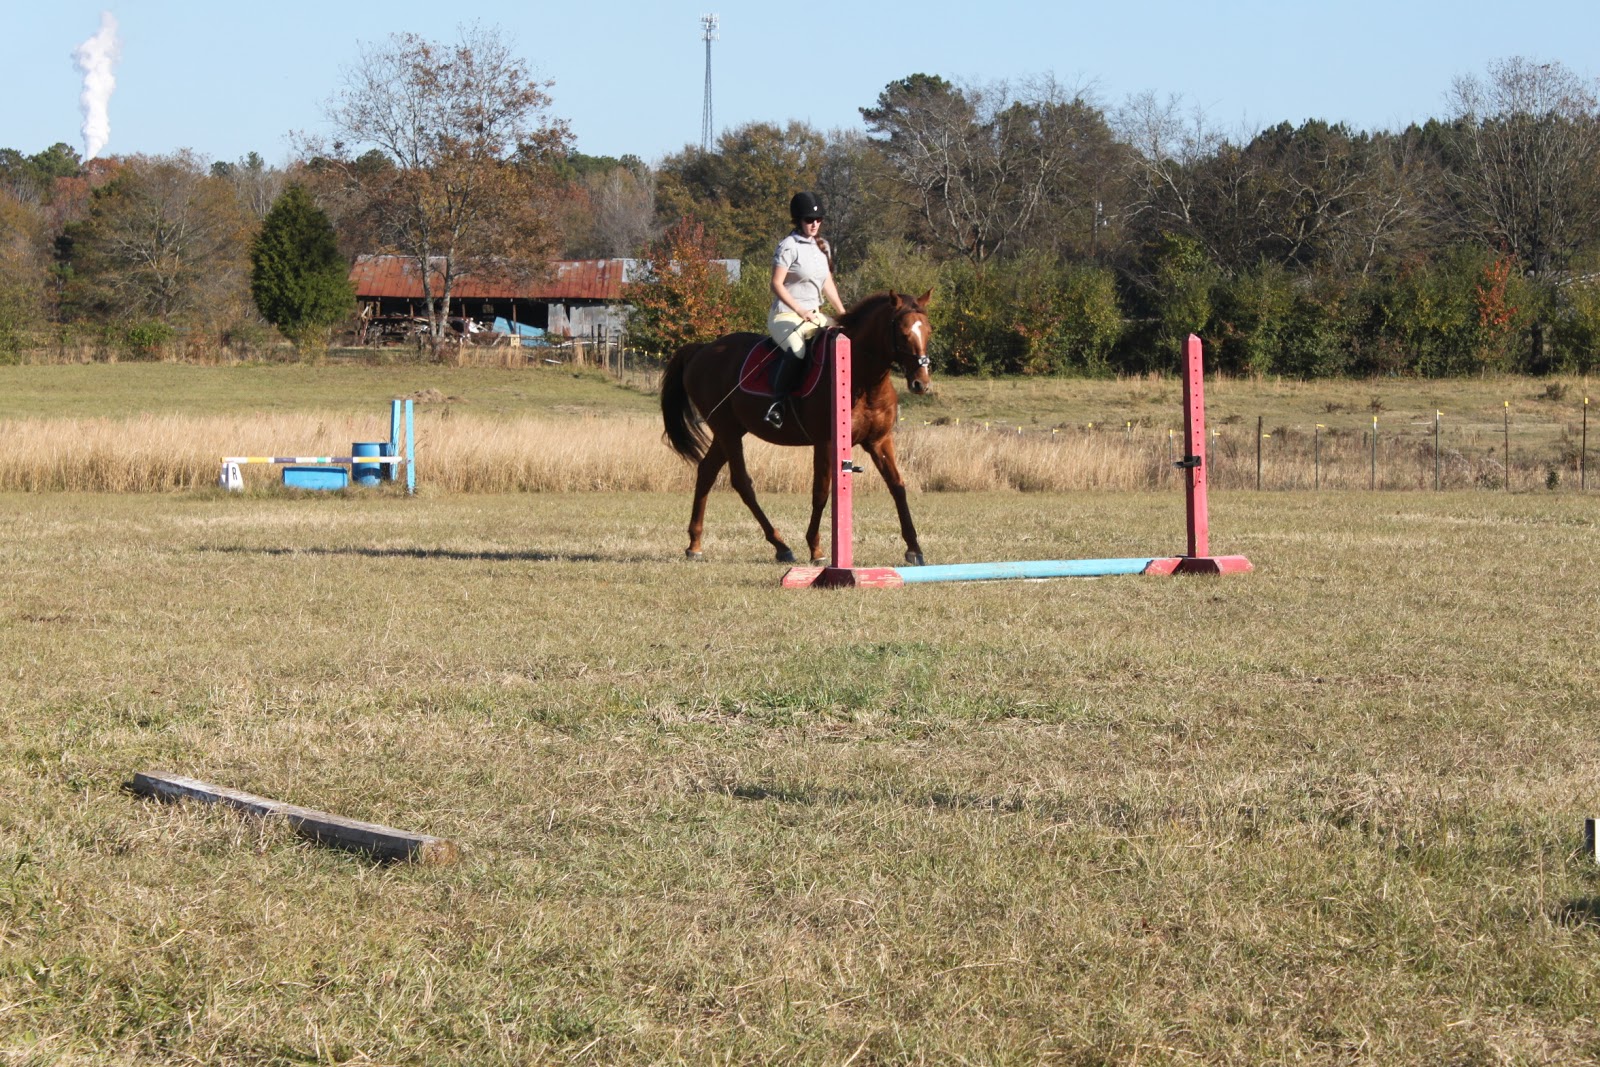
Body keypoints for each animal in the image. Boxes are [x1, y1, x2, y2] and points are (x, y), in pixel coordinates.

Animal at [660, 290, 933, 566]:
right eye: (903, 333)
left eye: (928, 331)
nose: (921, 383)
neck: (864, 381)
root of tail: (702, 350)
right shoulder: (826, 442)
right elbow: (821, 492)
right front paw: (816, 549)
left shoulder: (879, 441)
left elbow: (897, 486)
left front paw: (914, 548)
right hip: (728, 431)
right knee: (742, 482)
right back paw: (780, 545)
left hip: (728, 431)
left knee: (707, 472)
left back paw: (695, 544)